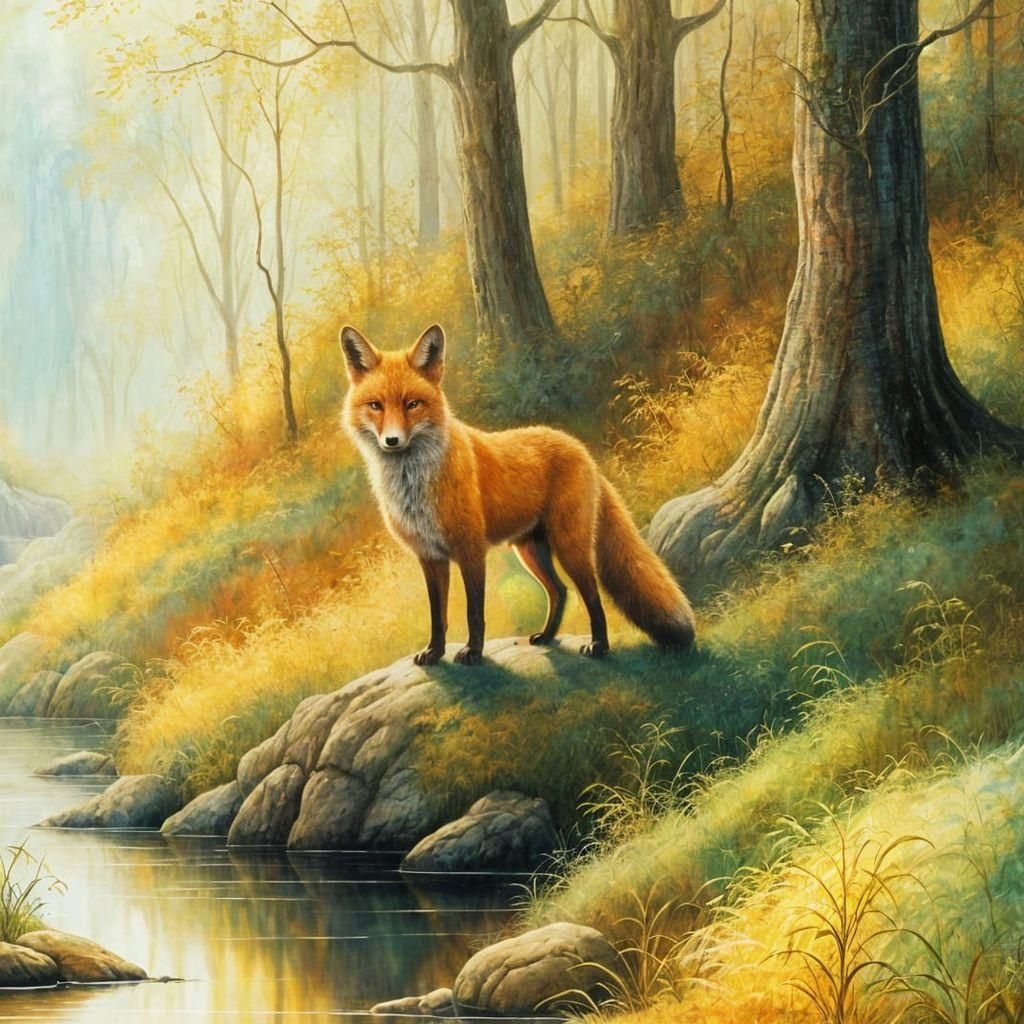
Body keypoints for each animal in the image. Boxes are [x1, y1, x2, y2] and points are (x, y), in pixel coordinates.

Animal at [340, 323, 696, 667]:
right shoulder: (430, 557)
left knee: (592, 596)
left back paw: (599, 645)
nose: (392, 441)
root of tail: (581, 449)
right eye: (375, 406)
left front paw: (473, 652)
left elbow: (474, 612)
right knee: (560, 591)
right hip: (530, 550)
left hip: (569, 546)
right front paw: (435, 652)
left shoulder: (471, 550)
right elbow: (437, 617)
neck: (413, 486)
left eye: (412, 404)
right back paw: (547, 637)